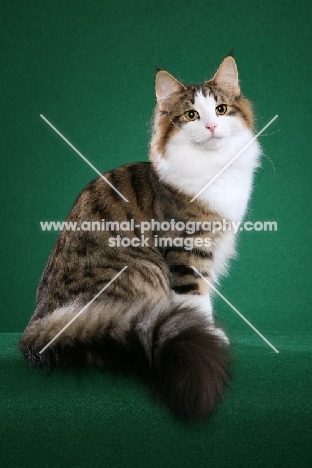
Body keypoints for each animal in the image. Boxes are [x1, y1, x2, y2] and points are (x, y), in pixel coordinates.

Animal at [19, 54, 260, 420]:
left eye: (220, 109)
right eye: (192, 115)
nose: (211, 127)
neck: (213, 169)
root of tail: (38, 324)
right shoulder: (186, 252)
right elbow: (196, 300)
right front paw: (207, 334)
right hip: (141, 271)